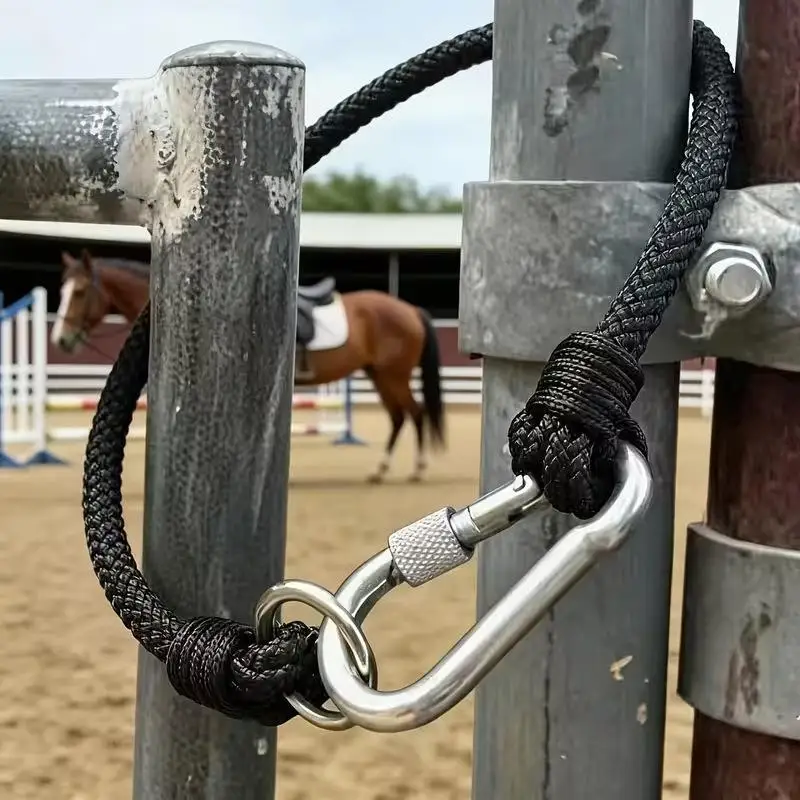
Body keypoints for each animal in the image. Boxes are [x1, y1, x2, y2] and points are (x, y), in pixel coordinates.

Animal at [52, 249, 446, 482]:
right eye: (61, 291)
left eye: (80, 292)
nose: (60, 339)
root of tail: (410, 309)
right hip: (379, 374)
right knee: (401, 416)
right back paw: (383, 469)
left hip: (393, 375)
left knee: (414, 413)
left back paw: (414, 469)